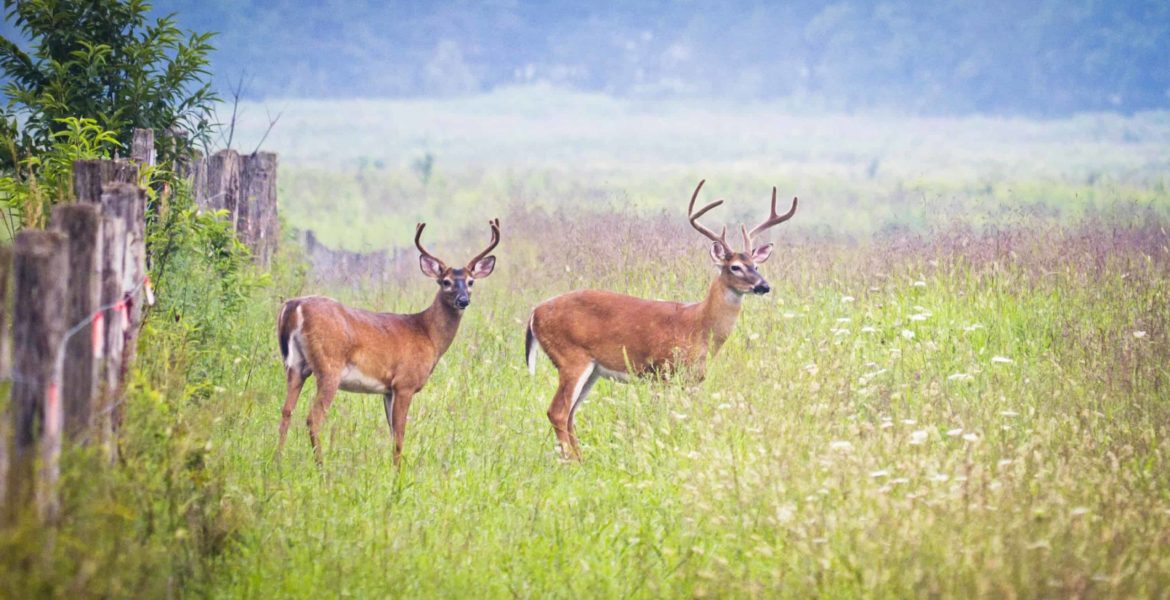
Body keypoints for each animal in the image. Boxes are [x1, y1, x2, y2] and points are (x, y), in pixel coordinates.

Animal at [276, 218, 500, 463]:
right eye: (446, 282)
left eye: (471, 282)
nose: (463, 300)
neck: (428, 334)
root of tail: (294, 306)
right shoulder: (404, 383)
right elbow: (400, 435)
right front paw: (398, 471)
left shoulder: (387, 390)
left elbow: (393, 433)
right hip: (329, 366)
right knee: (313, 418)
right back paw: (321, 467)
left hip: (295, 365)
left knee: (286, 411)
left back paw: (277, 461)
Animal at [528, 182, 795, 458]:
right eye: (735, 267)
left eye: (756, 265)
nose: (763, 286)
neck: (698, 325)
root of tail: (534, 314)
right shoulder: (661, 370)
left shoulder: (693, 379)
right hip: (571, 358)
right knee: (558, 412)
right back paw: (573, 461)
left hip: (591, 370)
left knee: (570, 414)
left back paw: (580, 458)